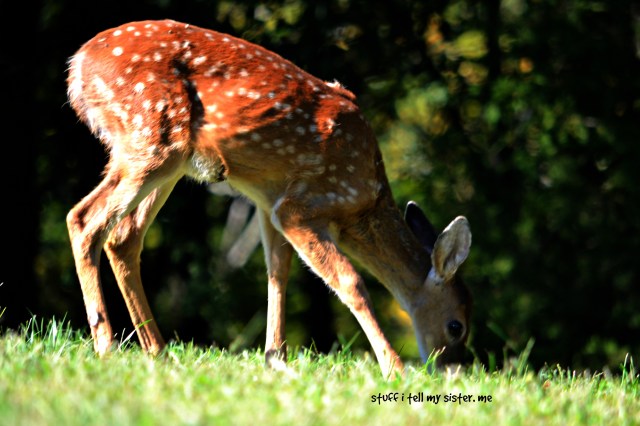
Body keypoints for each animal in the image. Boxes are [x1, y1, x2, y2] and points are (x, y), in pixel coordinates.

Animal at [66, 19, 472, 378]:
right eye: (457, 326)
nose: (455, 370)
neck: (362, 205)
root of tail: (78, 64)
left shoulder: (269, 200)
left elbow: (277, 272)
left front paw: (276, 359)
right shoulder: (302, 206)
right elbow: (350, 282)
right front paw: (395, 369)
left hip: (166, 158)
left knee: (124, 237)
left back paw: (159, 352)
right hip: (152, 137)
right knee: (84, 219)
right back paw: (106, 346)